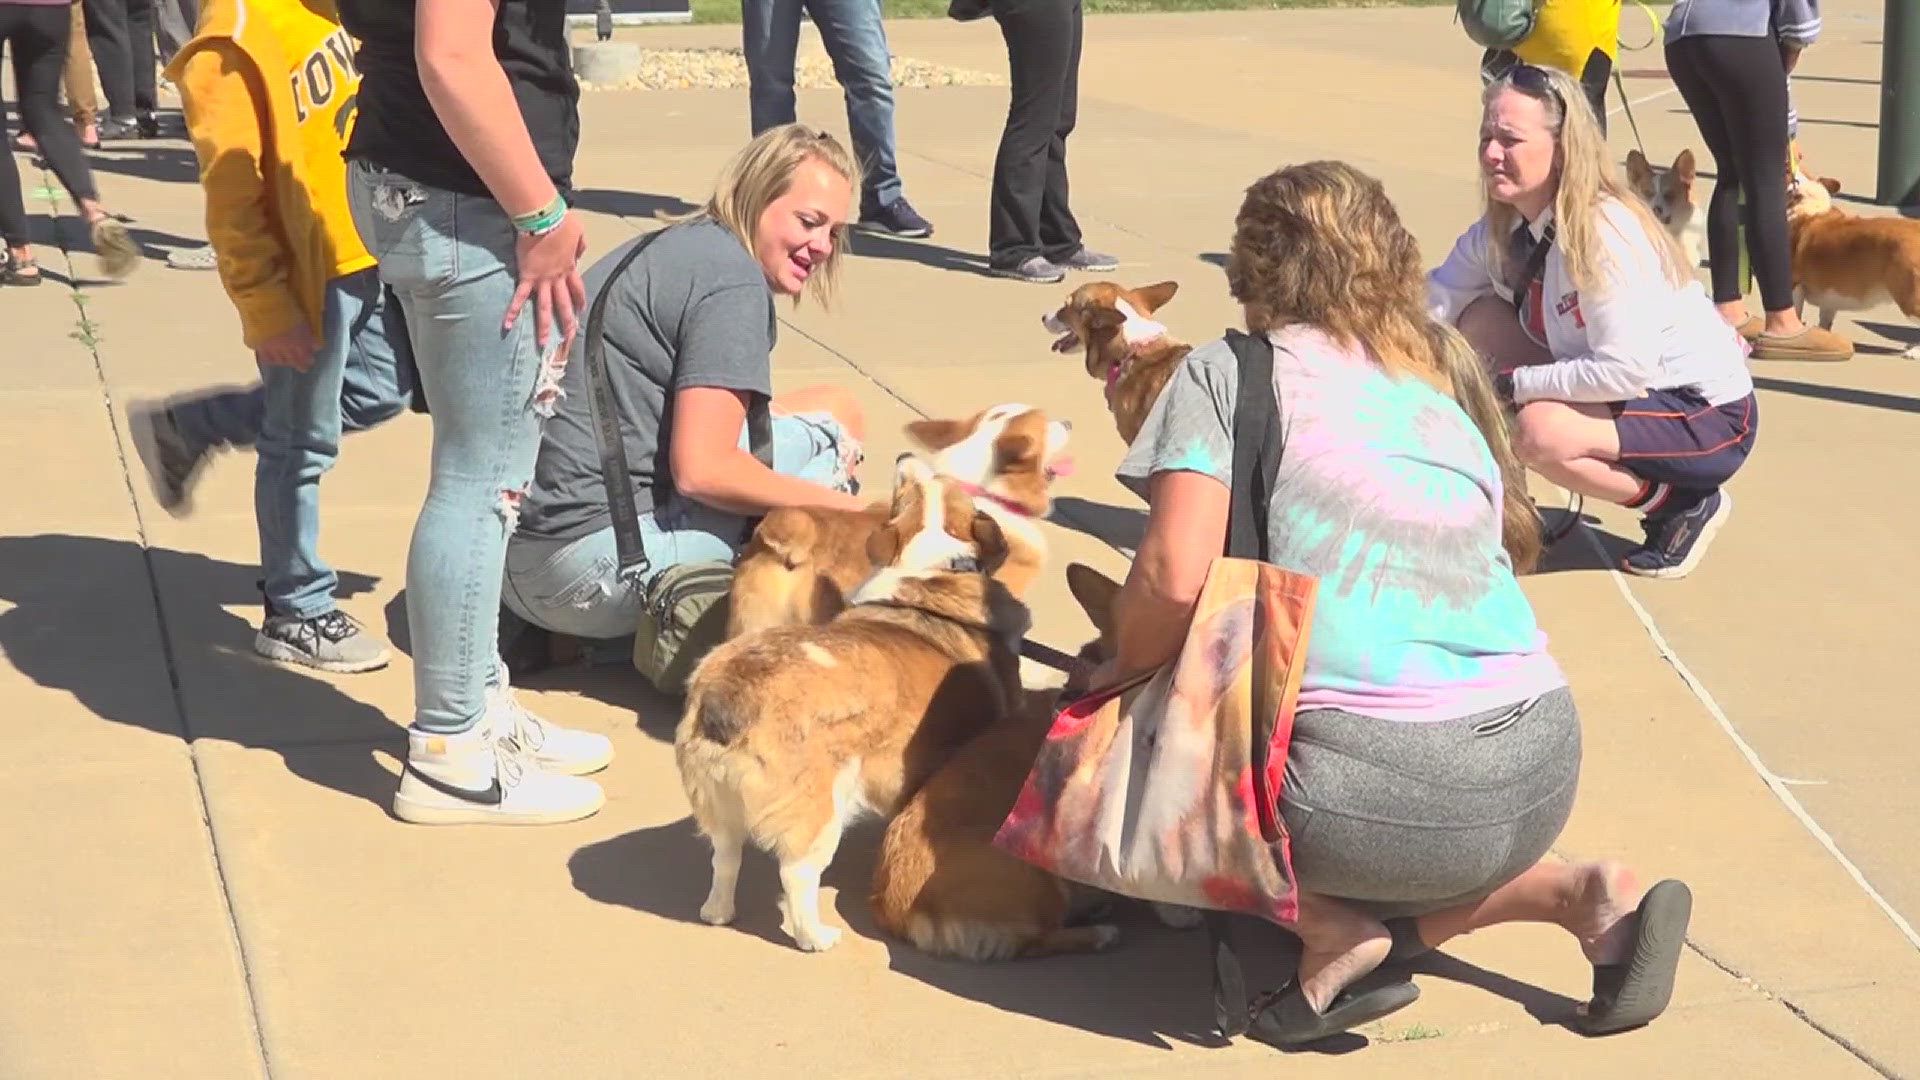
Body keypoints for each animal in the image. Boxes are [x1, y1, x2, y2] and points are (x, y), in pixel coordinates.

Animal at [679, 453, 1036, 949]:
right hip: (822, 814)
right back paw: (815, 937)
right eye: (905, 489)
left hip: (721, 807)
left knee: (724, 857)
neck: (934, 564)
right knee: (796, 874)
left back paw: (717, 912)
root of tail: (728, 696)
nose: (905, 456)